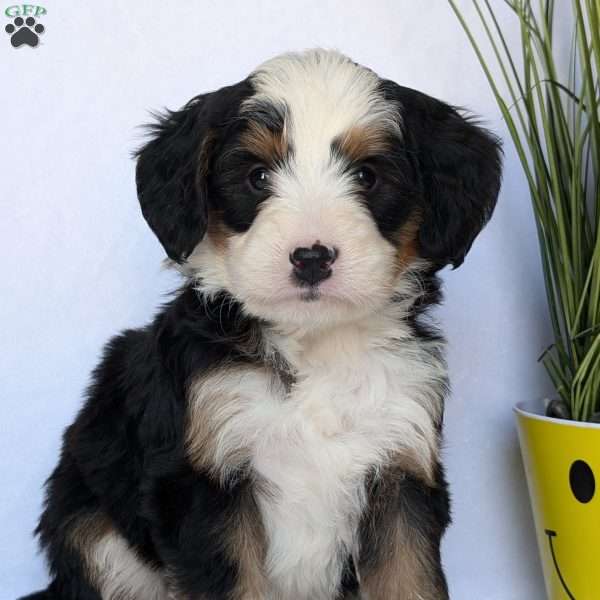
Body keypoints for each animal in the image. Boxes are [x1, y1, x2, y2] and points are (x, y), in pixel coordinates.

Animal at [22, 50, 502, 600]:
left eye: (366, 176)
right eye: (258, 177)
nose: (312, 257)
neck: (317, 348)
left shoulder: (402, 470)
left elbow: (409, 579)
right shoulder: (204, 482)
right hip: (94, 533)